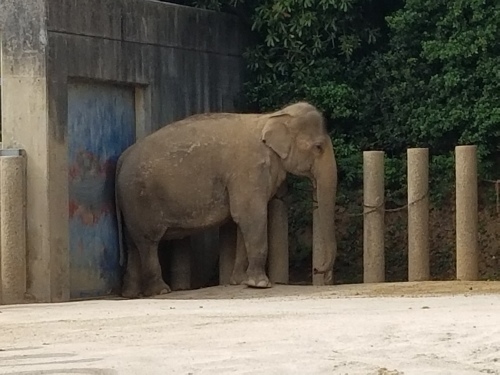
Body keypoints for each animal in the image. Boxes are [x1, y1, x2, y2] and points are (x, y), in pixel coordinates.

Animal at [115, 101, 338, 298]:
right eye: (318, 147)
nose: (318, 270)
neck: (272, 117)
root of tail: (122, 158)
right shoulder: (249, 170)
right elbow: (251, 217)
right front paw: (260, 284)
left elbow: (241, 222)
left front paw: (239, 281)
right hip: (139, 198)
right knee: (148, 242)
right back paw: (161, 291)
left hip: (130, 202)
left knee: (133, 244)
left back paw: (131, 294)